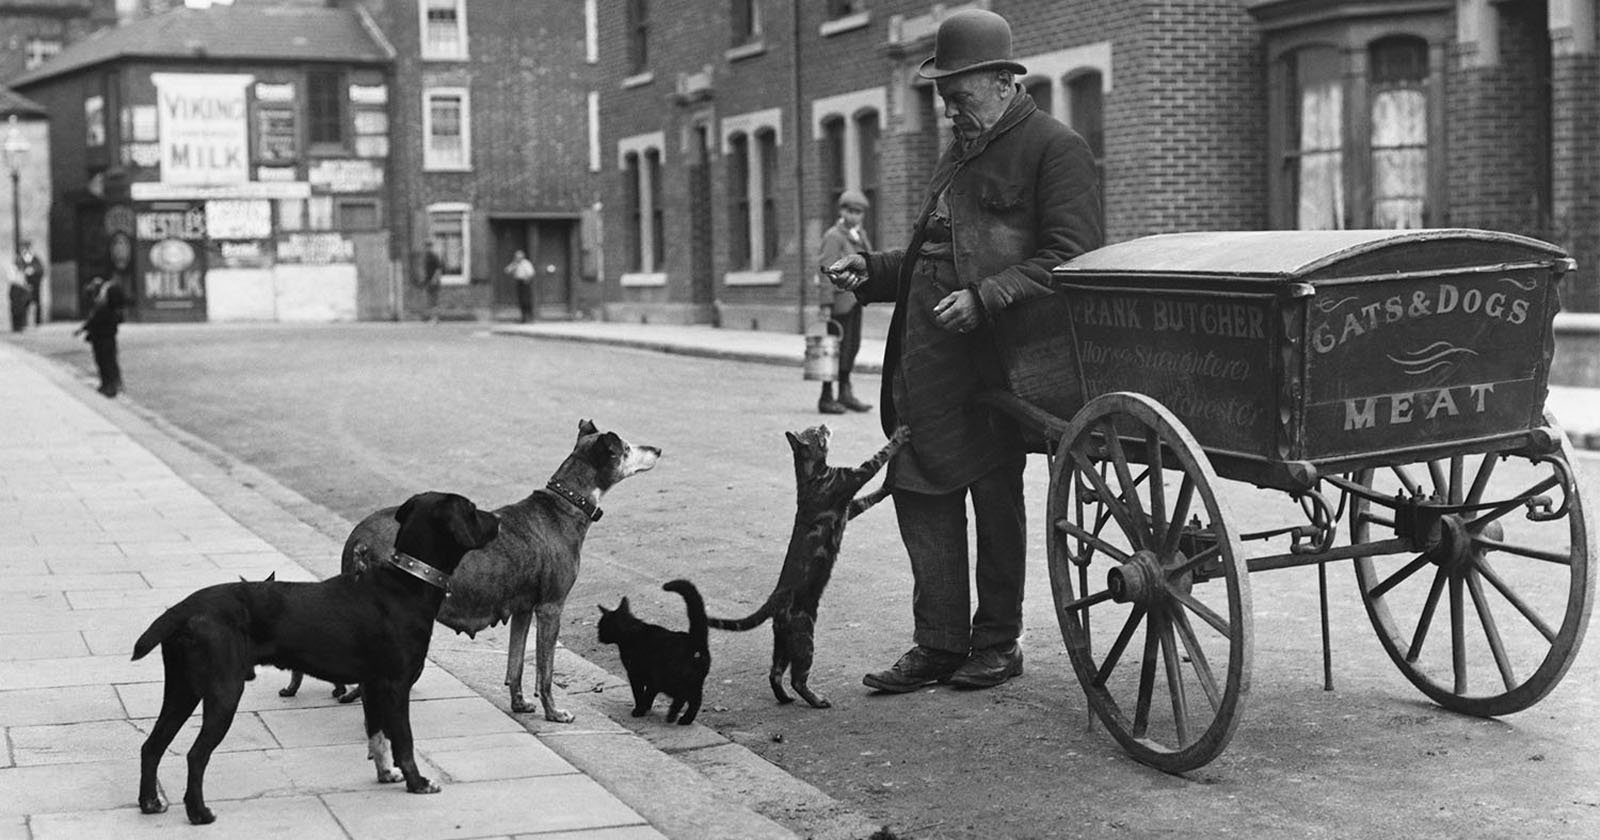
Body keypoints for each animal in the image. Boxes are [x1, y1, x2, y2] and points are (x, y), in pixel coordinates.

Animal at [134, 486, 496, 819]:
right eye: (472, 509)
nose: (500, 519)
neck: (405, 585)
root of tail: (184, 607)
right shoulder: (395, 685)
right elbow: (403, 741)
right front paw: (417, 782)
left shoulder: (373, 685)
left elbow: (377, 734)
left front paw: (384, 774)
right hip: (223, 692)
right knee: (196, 755)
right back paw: (198, 812)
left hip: (182, 689)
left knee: (151, 746)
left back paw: (150, 802)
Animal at [598, 576, 710, 720]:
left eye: (601, 627)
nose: (598, 636)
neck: (631, 633)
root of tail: (695, 640)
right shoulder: (650, 678)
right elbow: (649, 693)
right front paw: (646, 707)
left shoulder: (637, 674)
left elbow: (640, 693)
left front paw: (639, 710)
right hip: (694, 681)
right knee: (695, 700)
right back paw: (685, 720)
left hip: (674, 679)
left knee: (683, 696)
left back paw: (672, 715)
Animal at [707, 425, 908, 707]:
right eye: (816, 432)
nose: (824, 425)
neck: (812, 475)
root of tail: (774, 597)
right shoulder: (853, 478)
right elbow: (878, 456)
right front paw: (900, 436)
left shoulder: (850, 507)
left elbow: (871, 497)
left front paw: (890, 485)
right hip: (804, 639)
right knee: (797, 678)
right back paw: (817, 700)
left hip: (783, 642)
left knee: (775, 673)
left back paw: (785, 698)